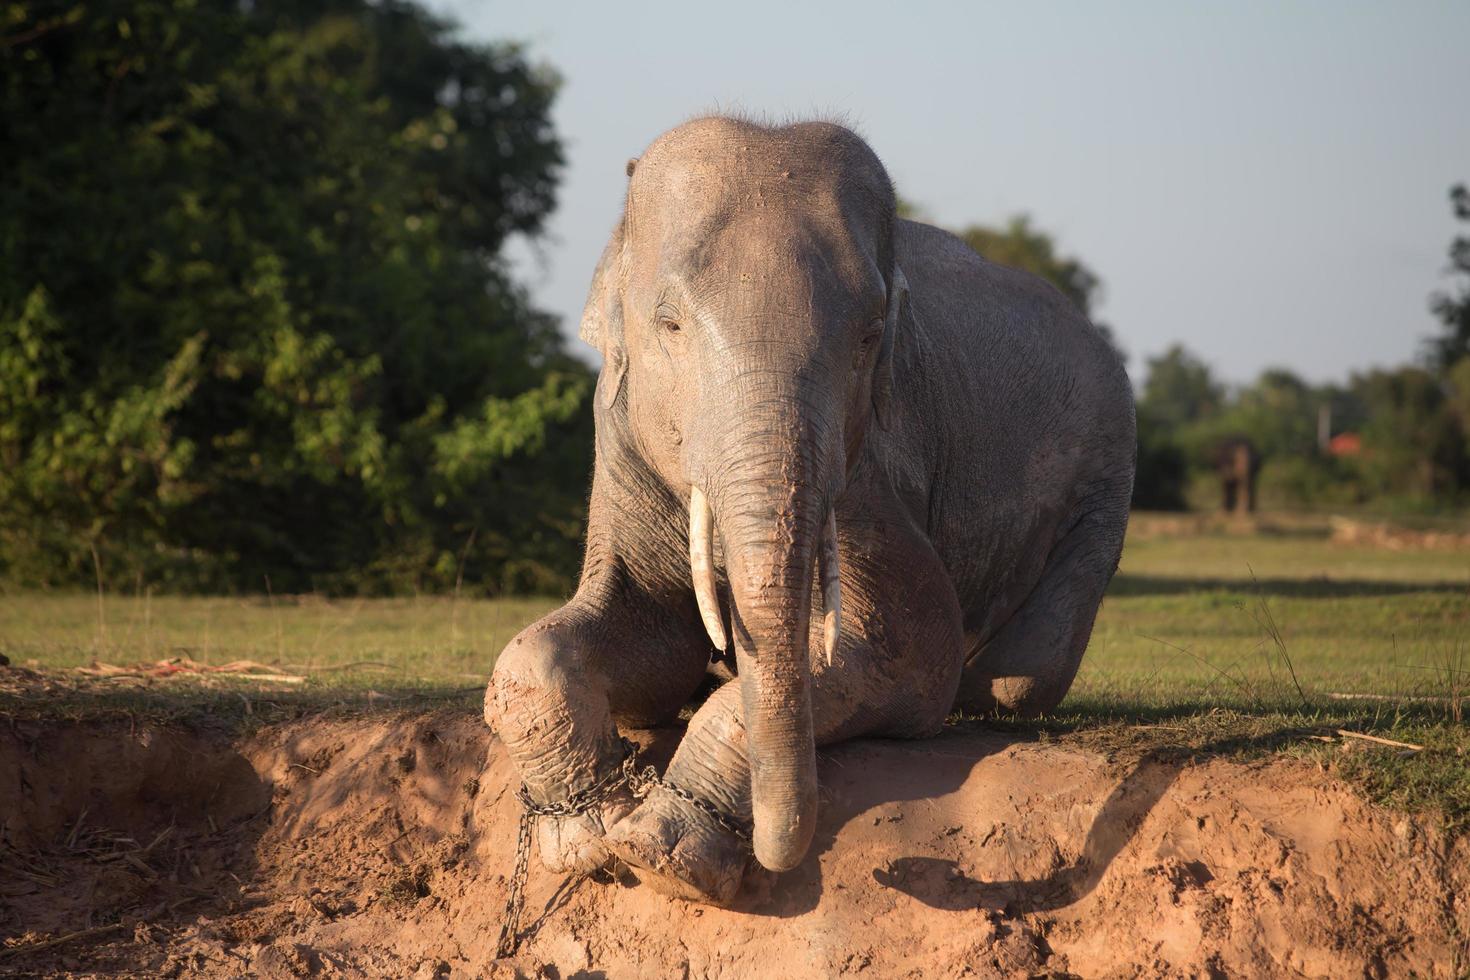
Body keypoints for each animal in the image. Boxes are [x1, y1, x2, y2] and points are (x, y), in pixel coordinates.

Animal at [488, 119, 1128, 910]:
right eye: (668, 324)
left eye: (870, 337)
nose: (907, 870)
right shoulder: (620, 437)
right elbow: (629, 640)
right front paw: (586, 837)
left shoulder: (872, 464)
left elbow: (914, 654)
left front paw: (663, 857)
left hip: (1106, 471)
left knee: (1022, 674)